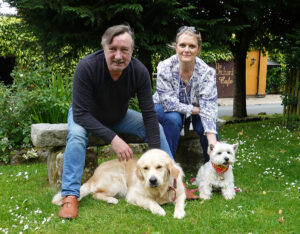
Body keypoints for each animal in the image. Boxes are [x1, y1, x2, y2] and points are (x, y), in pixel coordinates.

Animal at [52, 149, 186, 218]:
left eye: (159, 167)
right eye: (145, 168)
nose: (152, 180)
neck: (160, 189)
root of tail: (95, 172)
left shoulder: (180, 192)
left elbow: (179, 202)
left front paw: (179, 213)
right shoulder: (133, 194)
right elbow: (150, 200)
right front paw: (158, 209)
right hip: (118, 182)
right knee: (95, 194)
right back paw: (112, 200)